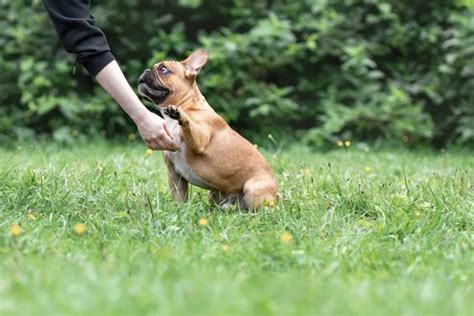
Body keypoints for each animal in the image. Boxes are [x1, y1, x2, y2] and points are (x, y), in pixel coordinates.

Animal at [137, 48, 278, 209]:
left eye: (163, 69)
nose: (145, 71)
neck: (187, 104)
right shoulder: (174, 174)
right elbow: (179, 197)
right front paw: (180, 210)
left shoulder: (200, 141)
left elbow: (189, 124)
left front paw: (180, 114)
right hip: (214, 194)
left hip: (253, 187)